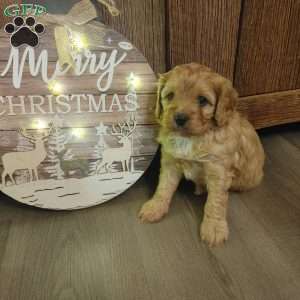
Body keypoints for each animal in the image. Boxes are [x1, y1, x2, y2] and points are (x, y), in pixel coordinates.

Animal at [139, 63, 264, 246]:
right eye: (170, 95)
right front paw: (155, 207)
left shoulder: (218, 170)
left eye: (202, 100)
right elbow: (164, 186)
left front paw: (214, 228)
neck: (191, 137)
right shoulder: (170, 161)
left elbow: (216, 202)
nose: (179, 118)